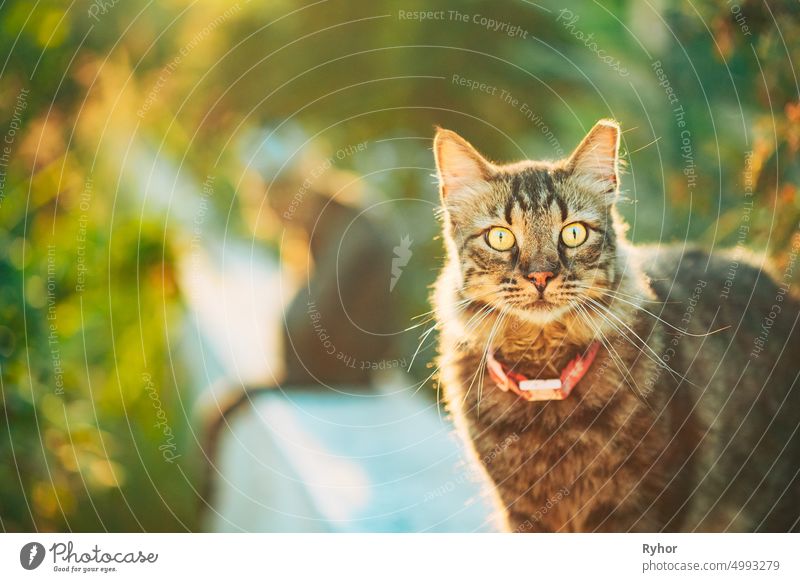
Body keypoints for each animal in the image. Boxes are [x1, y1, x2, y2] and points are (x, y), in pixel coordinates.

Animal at [432, 120, 800, 532]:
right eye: (500, 237)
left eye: (573, 233)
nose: (541, 276)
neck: (545, 379)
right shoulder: (523, 513)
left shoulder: (638, 506)